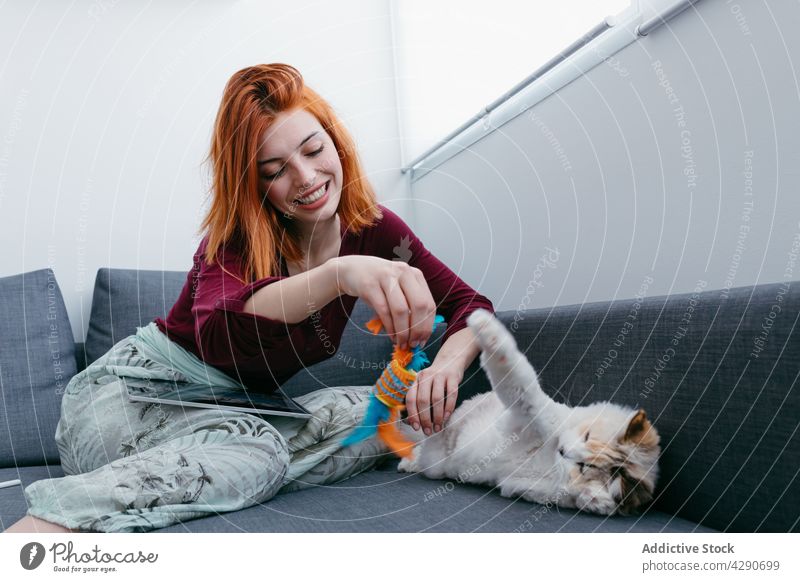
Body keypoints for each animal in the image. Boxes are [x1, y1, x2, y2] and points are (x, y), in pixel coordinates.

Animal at [396, 308, 660, 516]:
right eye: (586, 436)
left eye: (584, 467)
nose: (563, 451)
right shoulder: (532, 413)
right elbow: (521, 377)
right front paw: (483, 323)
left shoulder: (522, 484)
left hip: (435, 463)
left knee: (424, 449)